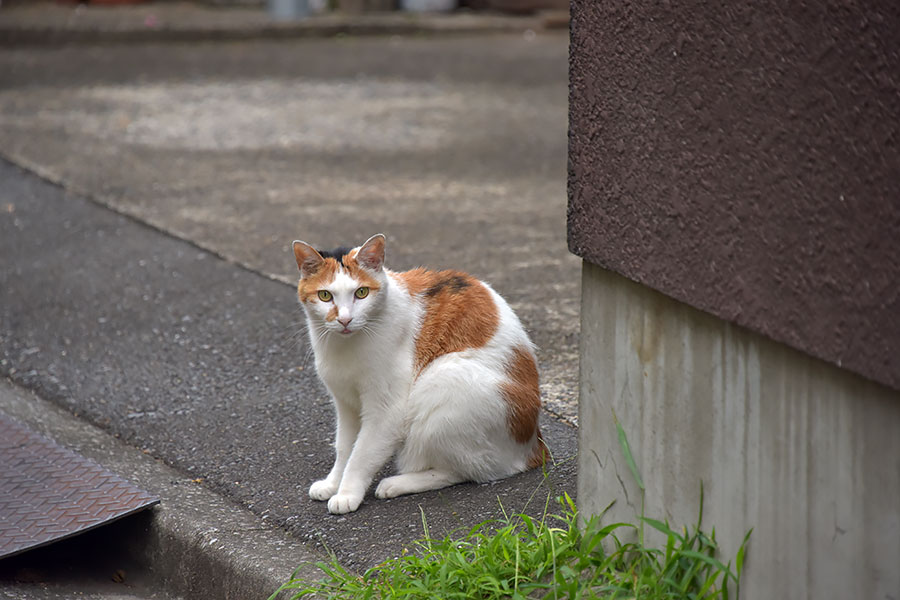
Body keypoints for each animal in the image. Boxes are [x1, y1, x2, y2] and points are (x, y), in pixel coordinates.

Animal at [296, 232, 548, 512]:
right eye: (325, 295)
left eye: (361, 293)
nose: (345, 320)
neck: (344, 346)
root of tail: (534, 447)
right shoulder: (346, 404)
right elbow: (344, 448)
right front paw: (333, 483)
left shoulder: (387, 410)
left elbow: (361, 453)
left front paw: (347, 493)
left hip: (442, 380)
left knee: (469, 471)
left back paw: (398, 483)